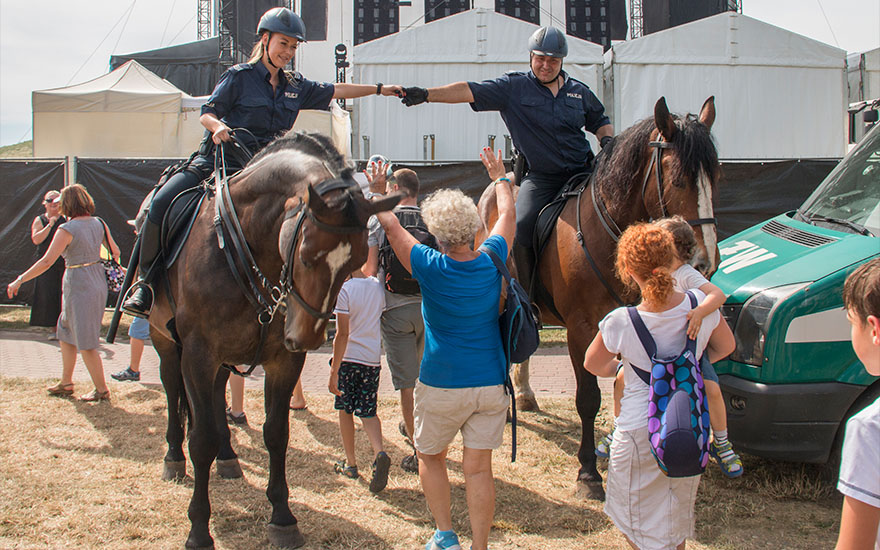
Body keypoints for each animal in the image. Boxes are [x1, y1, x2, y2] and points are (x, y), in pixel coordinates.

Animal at [149, 135, 398, 550]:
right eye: (307, 256)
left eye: (356, 263)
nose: (308, 336)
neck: (240, 247)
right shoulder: (198, 354)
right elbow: (200, 439)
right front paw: (199, 528)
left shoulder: (282, 360)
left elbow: (276, 434)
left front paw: (282, 517)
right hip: (164, 338)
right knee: (171, 387)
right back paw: (173, 457)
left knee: (217, 396)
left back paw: (228, 457)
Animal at [478, 98, 720, 500]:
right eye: (678, 179)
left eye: (715, 177)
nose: (706, 262)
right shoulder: (581, 328)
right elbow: (589, 397)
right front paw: (589, 472)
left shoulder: (630, 325)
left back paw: (524, 395)